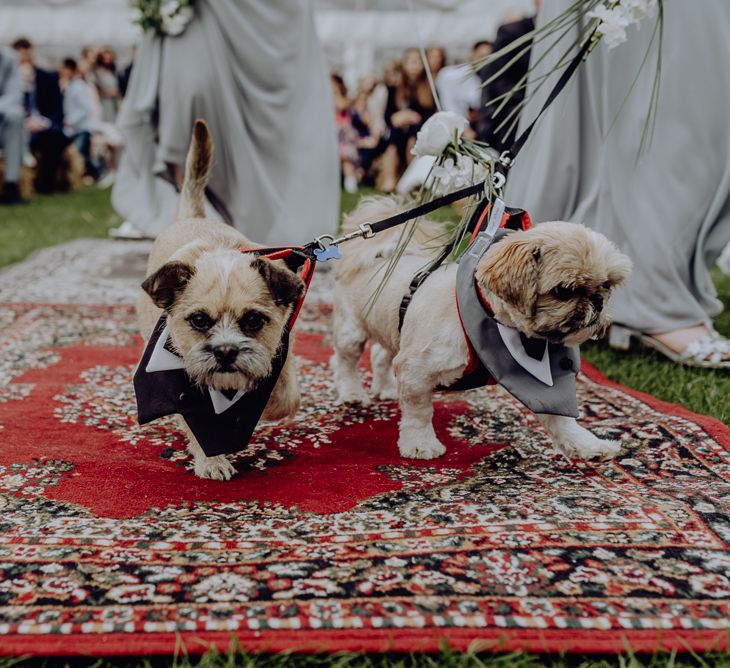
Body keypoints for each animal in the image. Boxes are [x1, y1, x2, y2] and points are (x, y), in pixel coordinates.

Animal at [332, 196, 632, 462]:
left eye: (607, 285)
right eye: (564, 291)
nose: (597, 301)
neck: (500, 324)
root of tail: (381, 255)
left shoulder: (544, 381)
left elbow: (562, 419)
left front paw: (588, 446)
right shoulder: (415, 370)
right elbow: (419, 413)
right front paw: (420, 444)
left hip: (393, 331)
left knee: (380, 355)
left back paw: (385, 388)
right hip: (353, 332)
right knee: (345, 361)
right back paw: (352, 393)